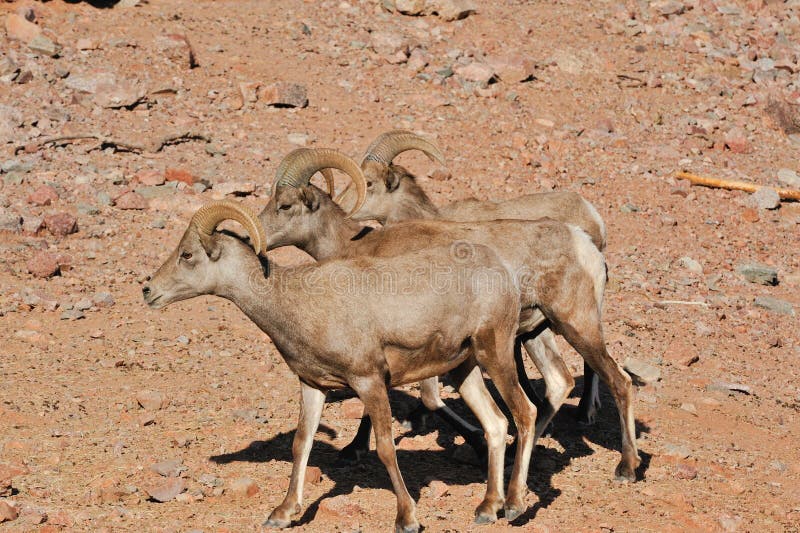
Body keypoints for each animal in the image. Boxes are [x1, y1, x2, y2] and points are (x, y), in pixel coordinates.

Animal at [143, 198, 536, 528]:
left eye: (188, 254)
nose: (148, 291)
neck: (297, 303)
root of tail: (498, 269)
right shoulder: (313, 385)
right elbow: (301, 443)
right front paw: (282, 513)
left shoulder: (370, 382)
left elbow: (385, 448)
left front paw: (406, 518)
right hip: (464, 369)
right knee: (496, 424)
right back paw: (487, 508)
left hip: (495, 354)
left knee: (524, 413)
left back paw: (515, 506)